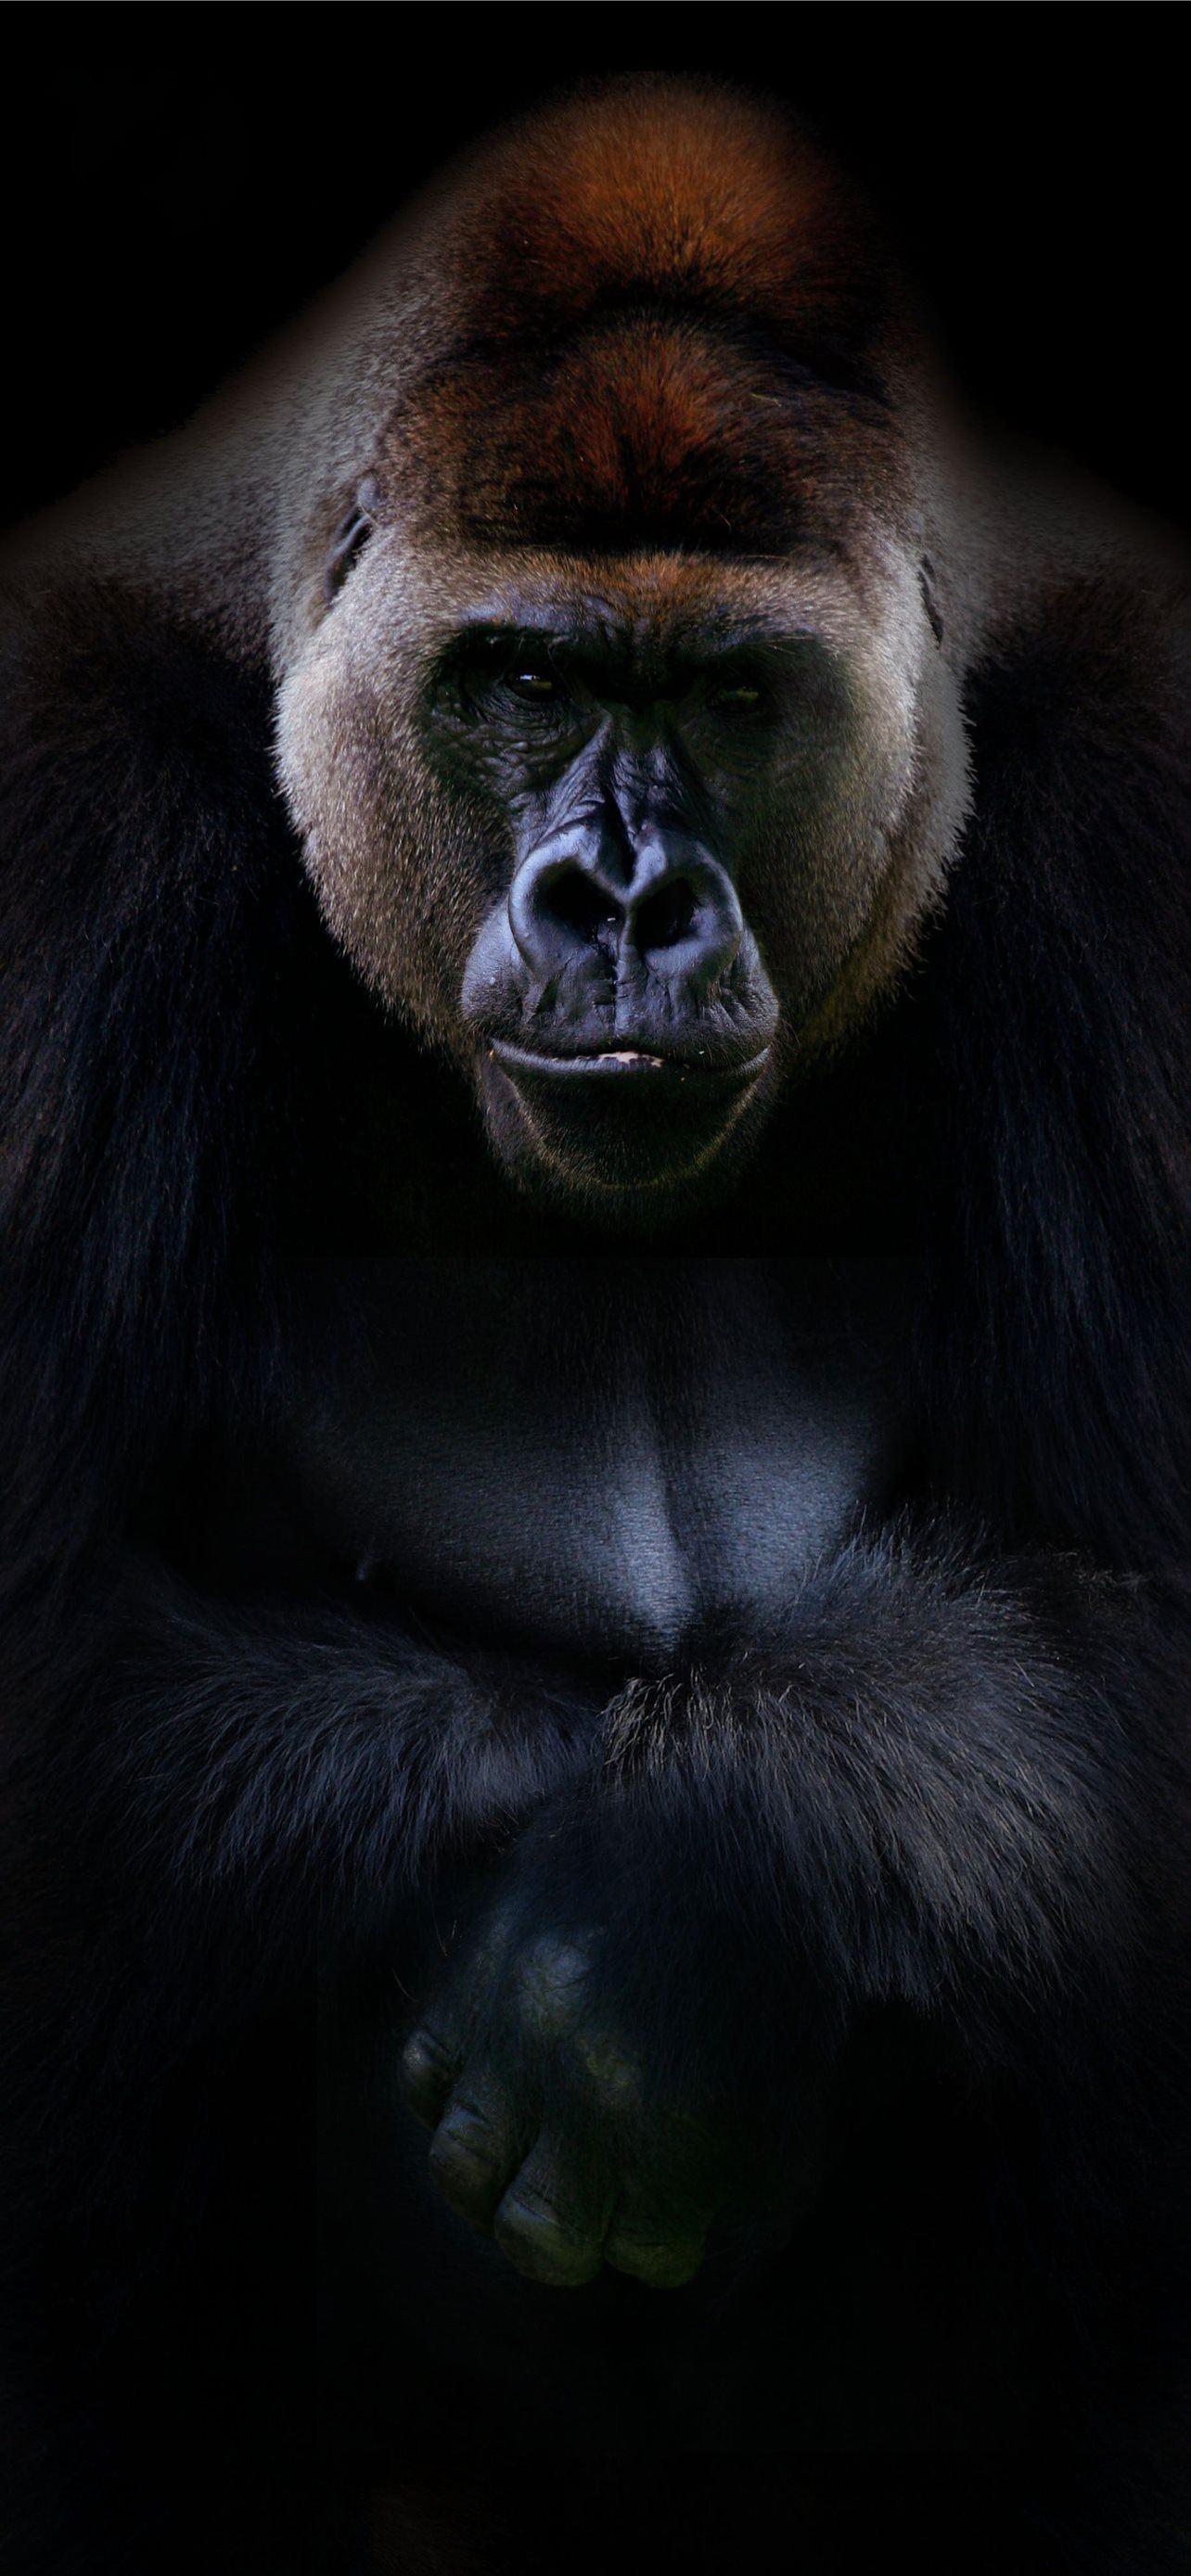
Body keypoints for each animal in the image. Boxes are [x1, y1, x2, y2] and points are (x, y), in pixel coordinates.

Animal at [1, 73, 1188, 2576]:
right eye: (528, 677)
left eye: (732, 694)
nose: (623, 900)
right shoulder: (56, 810)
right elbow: (46, 1670)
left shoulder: (1143, 786)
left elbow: (1139, 1618)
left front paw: (680, 1910)